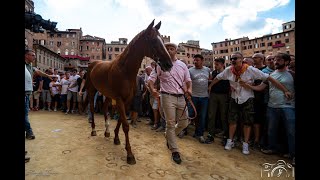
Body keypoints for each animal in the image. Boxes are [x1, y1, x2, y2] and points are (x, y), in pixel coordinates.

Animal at [83, 19, 172, 165]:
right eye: (153, 40)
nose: (169, 64)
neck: (124, 71)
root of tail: (93, 64)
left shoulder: (127, 100)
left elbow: (120, 120)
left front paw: (116, 138)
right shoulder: (119, 99)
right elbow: (125, 125)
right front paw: (130, 155)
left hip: (107, 95)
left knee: (105, 109)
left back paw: (107, 132)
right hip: (92, 90)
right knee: (91, 107)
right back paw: (94, 130)